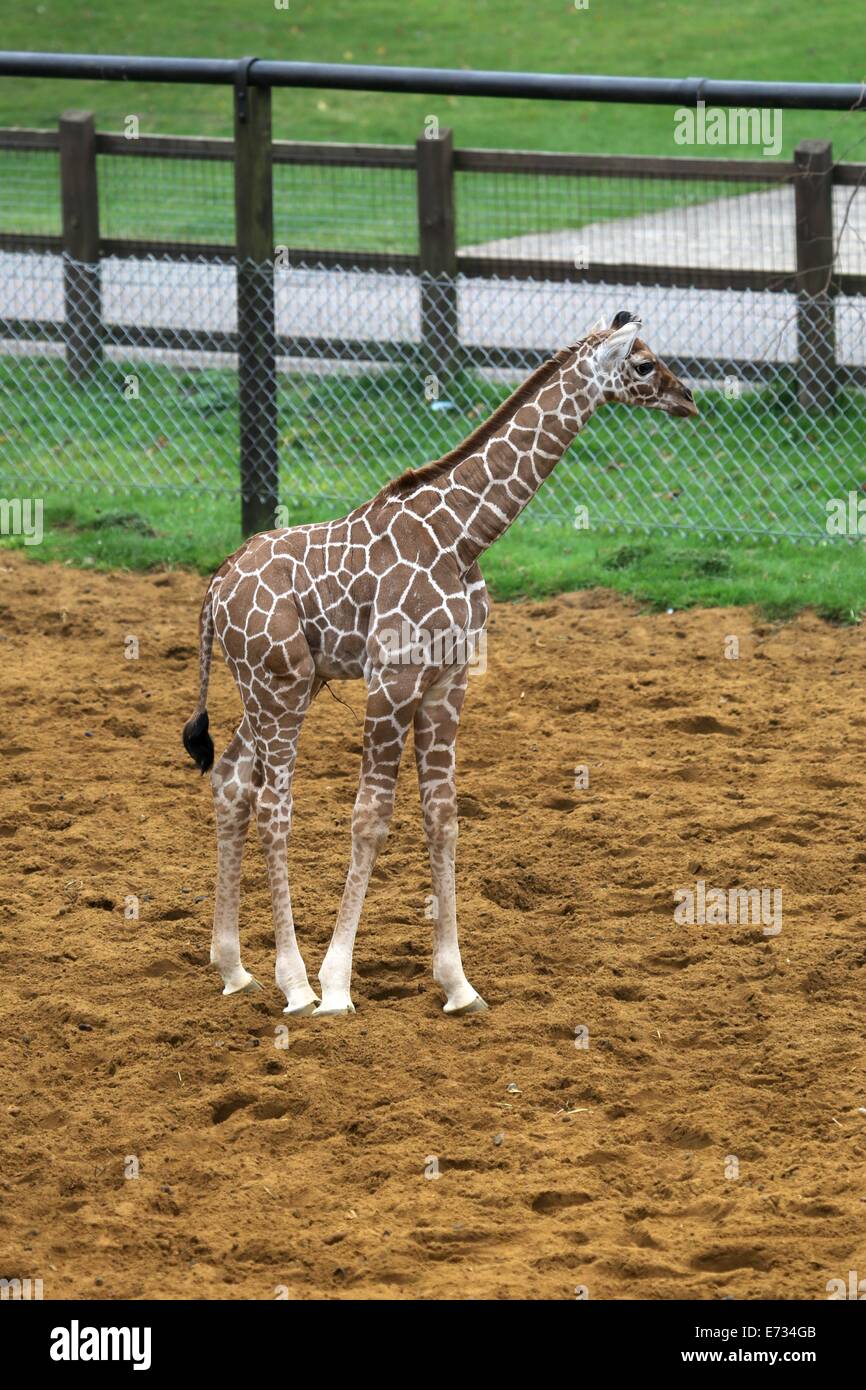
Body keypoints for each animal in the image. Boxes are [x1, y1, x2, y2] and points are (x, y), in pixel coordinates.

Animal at [180, 307, 697, 1023]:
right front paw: (337, 985)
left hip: (286, 684)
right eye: (644, 364)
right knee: (272, 805)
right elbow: (370, 817)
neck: (464, 535)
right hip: (276, 685)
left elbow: (442, 816)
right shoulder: (394, 677)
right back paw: (296, 984)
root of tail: (214, 587)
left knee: (232, 780)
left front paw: (458, 985)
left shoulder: (448, 681)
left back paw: (234, 970)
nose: (689, 399)